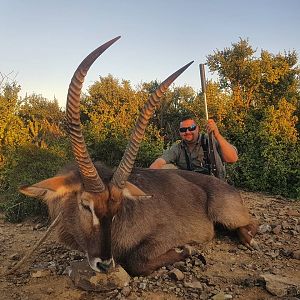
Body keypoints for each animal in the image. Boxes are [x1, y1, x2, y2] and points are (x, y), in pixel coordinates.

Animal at [19, 36, 258, 276]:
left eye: (117, 209)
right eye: (85, 205)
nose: (105, 264)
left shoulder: (165, 235)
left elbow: (136, 261)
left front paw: (187, 249)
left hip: (226, 215)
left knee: (249, 224)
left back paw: (250, 240)